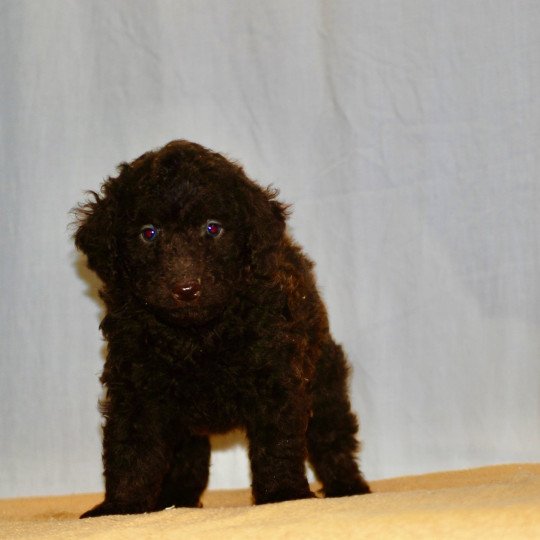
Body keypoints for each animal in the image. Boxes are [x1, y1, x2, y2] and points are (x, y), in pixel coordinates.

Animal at [74, 140, 372, 520]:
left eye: (213, 228)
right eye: (148, 233)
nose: (186, 288)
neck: (196, 336)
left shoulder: (276, 379)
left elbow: (278, 444)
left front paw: (284, 495)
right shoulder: (136, 388)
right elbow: (131, 450)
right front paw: (121, 507)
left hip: (324, 379)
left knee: (332, 437)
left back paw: (349, 487)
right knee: (189, 460)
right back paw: (176, 501)